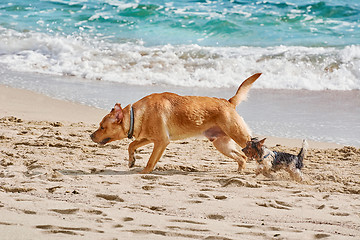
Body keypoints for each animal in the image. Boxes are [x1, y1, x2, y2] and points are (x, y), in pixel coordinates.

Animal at [91, 72, 262, 173]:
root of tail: (229, 102)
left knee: (256, 151)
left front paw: (144, 172)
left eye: (102, 127)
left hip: (239, 136)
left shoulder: (161, 141)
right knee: (242, 157)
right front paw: (132, 161)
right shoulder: (149, 138)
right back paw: (239, 173)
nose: (91, 136)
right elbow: (131, 145)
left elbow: (150, 161)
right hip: (221, 144)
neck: (137, 114)